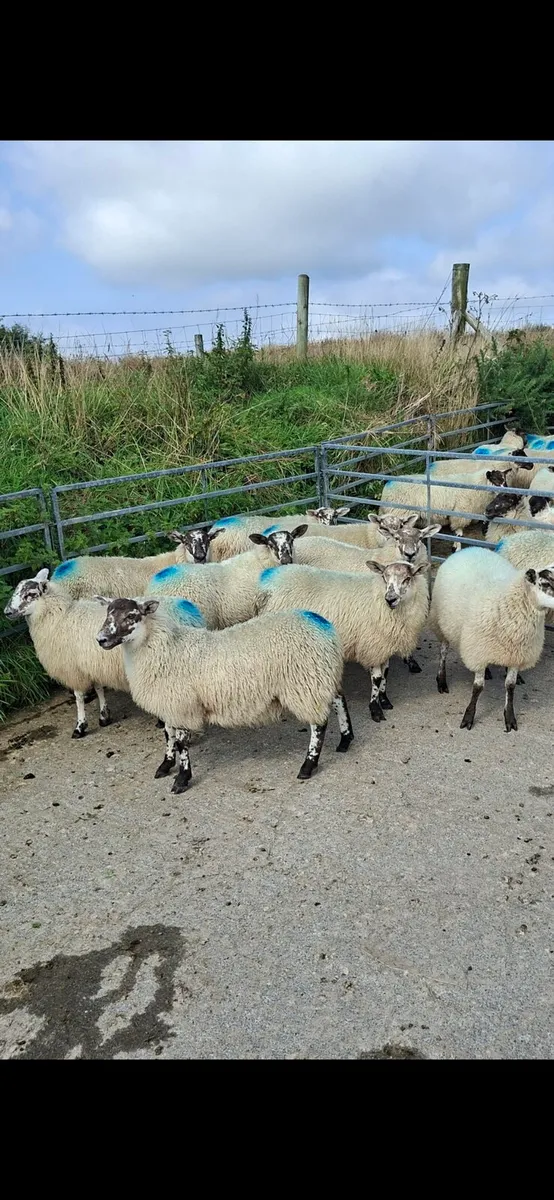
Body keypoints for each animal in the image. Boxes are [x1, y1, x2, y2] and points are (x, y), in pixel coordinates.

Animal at [95, 598, 354, 792]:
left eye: (131, 616)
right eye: (107, 614)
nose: (101, 639)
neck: (163, 648)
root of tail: (322, 623)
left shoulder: (182, 705)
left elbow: (180, 742)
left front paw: (182, 778)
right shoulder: (169, 703)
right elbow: (168, 735)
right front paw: (166, 764)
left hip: (305, 683)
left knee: (319, 724)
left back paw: (308, 765)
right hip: (320, 676)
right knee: (339, 699)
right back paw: (345, 739)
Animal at [257, 559, 430, 722]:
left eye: (407, 578)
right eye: (384, 577)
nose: (390, 599)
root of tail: (269, 580)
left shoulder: (384, 645)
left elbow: (385, 673)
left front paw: (384, 700)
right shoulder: (371, 644)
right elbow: (377, 678)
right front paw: (375, 709)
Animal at [379, 464, 518, 552]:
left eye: (505, 480)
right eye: (495, 480)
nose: (509, 493)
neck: (476, 486)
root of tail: (386, 489)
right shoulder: (460, 514)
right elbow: (459, 534)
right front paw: (456, 549)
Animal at [429, 545, 554, 731]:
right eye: (545, 583)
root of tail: (470, 547)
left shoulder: (517, 653)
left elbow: (510, 686)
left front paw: (509, 717)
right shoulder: (478, 651)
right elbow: (477, 688)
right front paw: (468, 717)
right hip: (440, 622)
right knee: (443, 652)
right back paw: (442, 680)